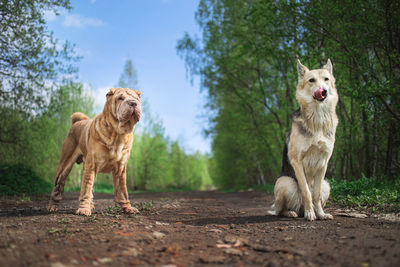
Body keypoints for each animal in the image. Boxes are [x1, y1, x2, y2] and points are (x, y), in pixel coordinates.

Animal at [47, 87, 141, 217]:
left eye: (136, 98)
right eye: (120, 98)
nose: (133, 103)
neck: (118, 134)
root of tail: (77, 122)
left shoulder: (120, 168)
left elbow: (122, 190)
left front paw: (127, 207)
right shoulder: (93, 164)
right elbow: (86, 188)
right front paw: (83, 209)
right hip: (64, 165)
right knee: (58, 186)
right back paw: (52, 206)